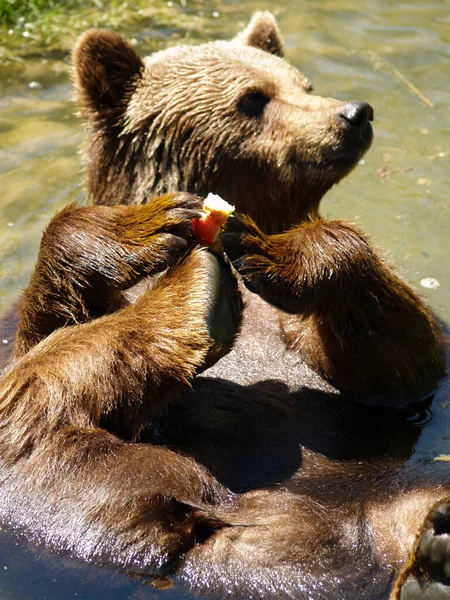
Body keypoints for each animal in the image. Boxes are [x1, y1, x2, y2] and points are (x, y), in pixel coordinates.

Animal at [0, 9, 450, 600]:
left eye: (303, 83)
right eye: (252, 98)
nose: (353, 113)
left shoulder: (318, 337)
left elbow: (402, 364)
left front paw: (276, 253)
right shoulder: (13, 324)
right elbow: (45, 323)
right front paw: (136, 230)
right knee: (36, 431)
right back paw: (190, 300)